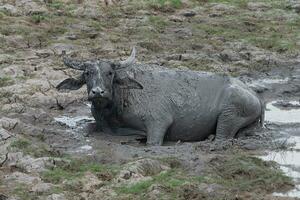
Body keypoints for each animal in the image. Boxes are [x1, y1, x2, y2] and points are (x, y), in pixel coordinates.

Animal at [57, 48, 264, 145]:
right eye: (87, 73)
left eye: (110, 73)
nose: (98, 92)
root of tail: (254, 95)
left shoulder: (158, 123)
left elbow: (152, 141)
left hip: (229, 116)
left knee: (222, 135)